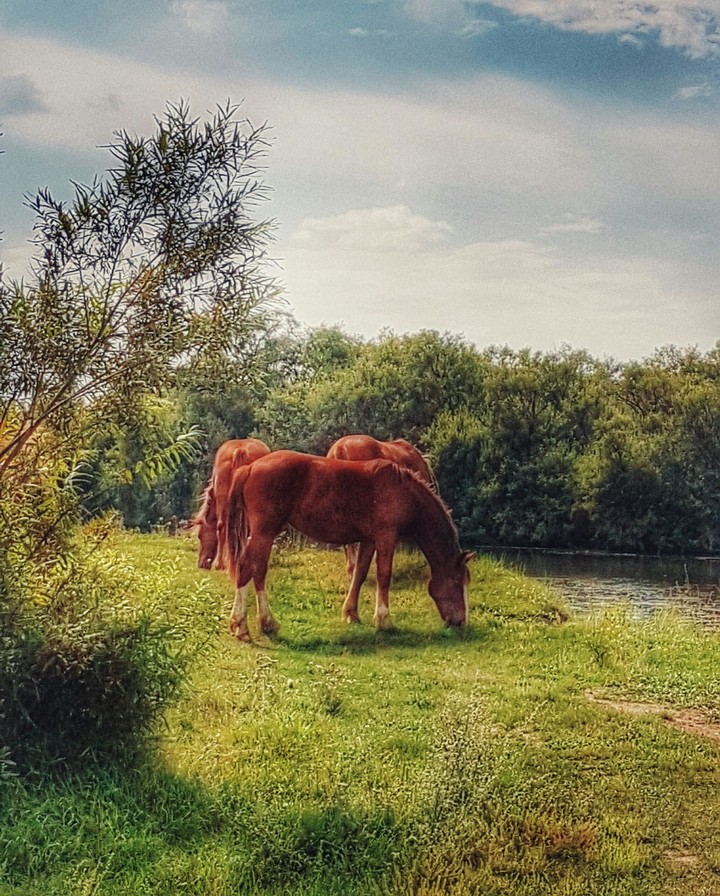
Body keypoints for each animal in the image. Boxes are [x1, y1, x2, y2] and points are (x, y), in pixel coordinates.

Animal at [222, 450, 473, 641]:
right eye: (457, 582)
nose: (460, 622)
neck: (402, 491)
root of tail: (250, 467)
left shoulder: (369, 540)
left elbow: (360, 574)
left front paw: (351, 613)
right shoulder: (386, 537)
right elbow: (384, 576)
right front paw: (384, 620)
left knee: (255, 571)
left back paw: (259, 624)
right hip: (265, 532)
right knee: (249, 568)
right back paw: (248, 625)